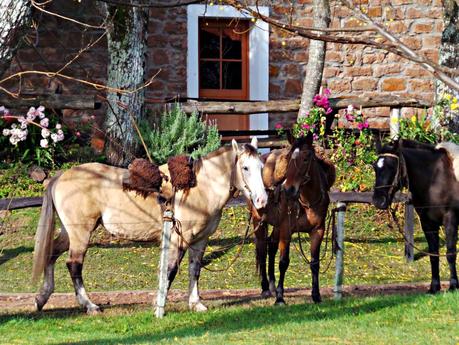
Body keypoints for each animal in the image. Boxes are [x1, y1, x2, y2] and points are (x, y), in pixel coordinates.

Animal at [33, 137, 270, 312]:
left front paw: (196, 304)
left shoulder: (200, 240)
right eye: (245, 167)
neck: (199, 188)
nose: (261, 200)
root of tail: (61, 176)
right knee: (74, 265)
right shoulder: (179, 238)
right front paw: (159, 305)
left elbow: (195, 270)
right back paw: (89, 305)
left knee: (52, 254)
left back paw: (42, 298)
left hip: (69, 233)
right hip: (80, 233)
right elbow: (171, 270)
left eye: (261, 166)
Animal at [252, 133, 338, 302]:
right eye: (289, 158)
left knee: (271, 244)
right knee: (262, 248)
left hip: (277, 224)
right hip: (258, 220)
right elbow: (283, 262)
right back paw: (265, 288)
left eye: (306, 158)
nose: (288, 190)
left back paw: (272, 285)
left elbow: (314, 263)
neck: (308, 201)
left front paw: (316, 295)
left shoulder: (318, 230)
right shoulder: (287, 230)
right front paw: (280, 298)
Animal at [374, 138, 459, 292]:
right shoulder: (428, 224)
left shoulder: (451, 221)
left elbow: (450, 254)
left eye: (392, 167)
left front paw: (453, 285)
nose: (378, 200)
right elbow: (433, 255)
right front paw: (434, 287)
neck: (436, 180)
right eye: (375, 168)